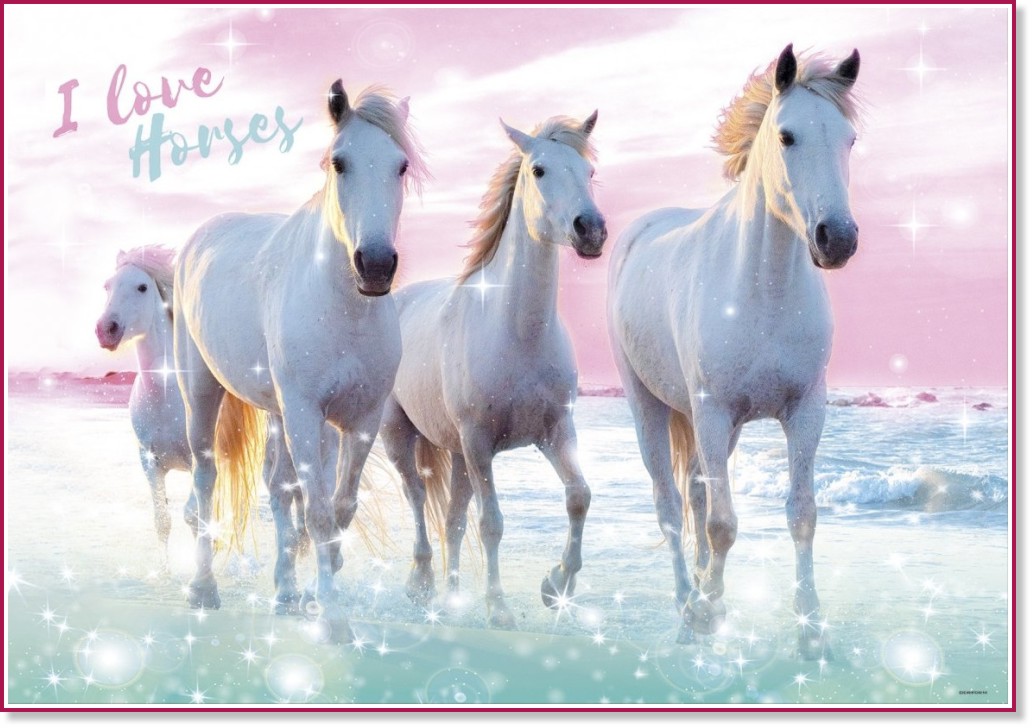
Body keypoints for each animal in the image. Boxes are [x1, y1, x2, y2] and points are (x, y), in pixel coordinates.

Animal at [95, 246, 311, 575]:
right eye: (107, 286)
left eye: (142, 287)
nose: (106, 329)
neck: (164, 396)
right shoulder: (149, 461)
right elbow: (163, 521)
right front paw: (166, 572)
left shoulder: (204, 457)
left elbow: (193, 515)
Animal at [173, 80, 426, 640]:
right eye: (339, 163)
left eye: (400, 165)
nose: (376, 265)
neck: (344, 308)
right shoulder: (307, 415)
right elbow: (318, 513)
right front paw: (332, 619)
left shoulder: (360, 419)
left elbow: (339, 509)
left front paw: (313, 594)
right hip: (201, 391)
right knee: (205, 477)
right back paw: (202, 588)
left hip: (276, 412)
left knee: (276, 488)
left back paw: (286, 591)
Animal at [380, 112, 607, 628]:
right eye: (539, 170)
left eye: (589, 173)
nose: (590, 229)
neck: (517, 333)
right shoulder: (480, 441)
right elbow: (492, 524)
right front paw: (499, 608)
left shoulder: (555, 431)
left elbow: (578, 496)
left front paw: (555, 586)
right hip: (403, 436)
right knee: (418, 497)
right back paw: (421, 584)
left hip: (457, 453)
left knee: (452, 520)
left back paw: (450, 598)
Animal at [607, 44, 861, 658]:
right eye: (787, 136)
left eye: (849, 140)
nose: (837, 238)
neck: (764, 290)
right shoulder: (713, 410)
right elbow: (722, 524)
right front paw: (705, 612)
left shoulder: (805, 411)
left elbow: (802, 515)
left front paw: (811, 631)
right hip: (651, 407)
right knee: (670, 506)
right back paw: (686, 607)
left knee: (696, 496)